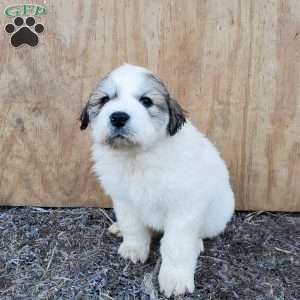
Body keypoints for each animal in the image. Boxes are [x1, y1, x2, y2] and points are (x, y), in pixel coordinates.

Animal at [79, 63, 234, 298]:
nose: (118, 117)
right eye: (105, 100)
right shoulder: (124, 199)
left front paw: (175, 278)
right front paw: (134, 248)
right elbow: (133, 226)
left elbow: (176, 245)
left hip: (216, 217)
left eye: (146, 101)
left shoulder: (183, 208)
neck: (137, 156)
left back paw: (196, 243)